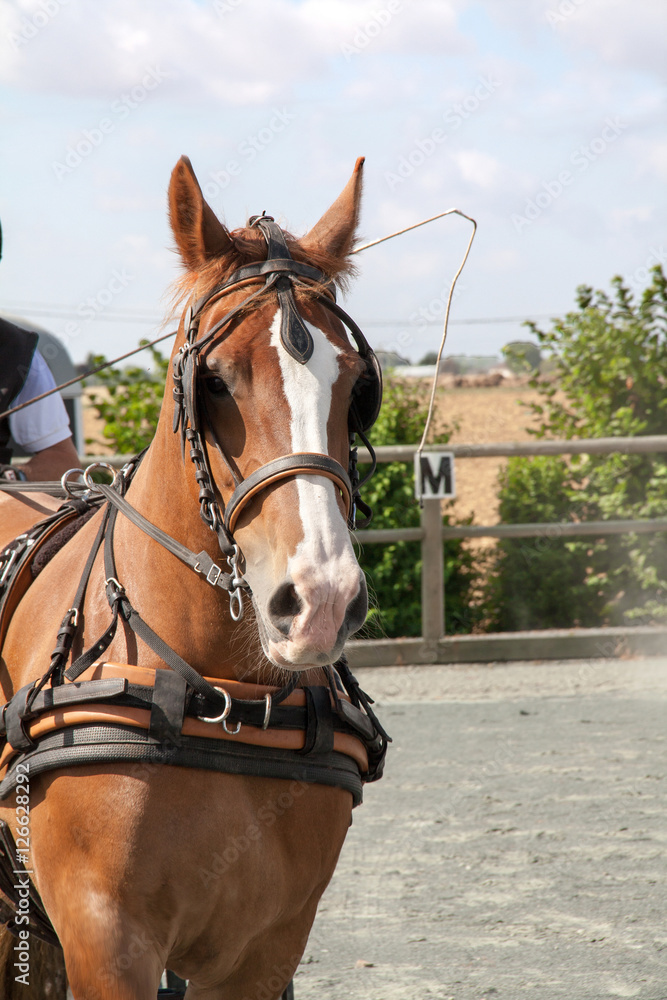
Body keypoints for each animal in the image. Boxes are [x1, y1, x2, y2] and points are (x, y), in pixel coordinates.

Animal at [0, 155, 387, 999]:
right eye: (211, 380)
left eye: (357, 388)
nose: (319, 600)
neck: (222, 697)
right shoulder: (105, 940)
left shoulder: (263, 950)